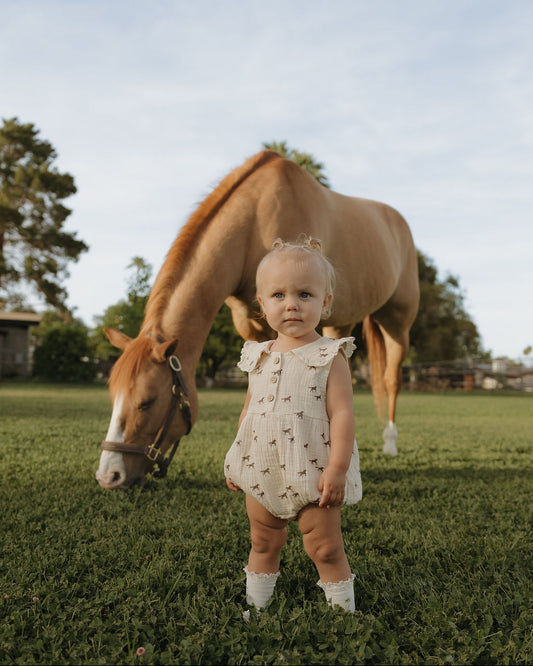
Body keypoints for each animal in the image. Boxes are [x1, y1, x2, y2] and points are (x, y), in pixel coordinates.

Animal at [96, 150, 419, 489]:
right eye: (113, 396)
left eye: (147, 401)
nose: (109, 475)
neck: (254, 223)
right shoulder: (249, 325)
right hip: (339, 323)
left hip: (398, 324)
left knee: (392, 379)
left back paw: (390, 442)